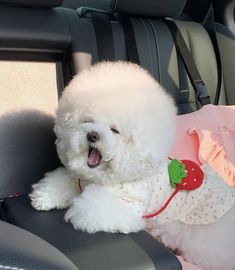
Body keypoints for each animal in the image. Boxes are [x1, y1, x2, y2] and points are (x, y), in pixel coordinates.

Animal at [30, 61, 235, 270]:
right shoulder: (79, 181)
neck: (101, 175)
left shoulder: (127, 204)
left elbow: (93, 210)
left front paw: (76, 215)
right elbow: (62, 184)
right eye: (87, 121)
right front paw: (44, 197)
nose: (92, 135)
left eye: (114, 130)